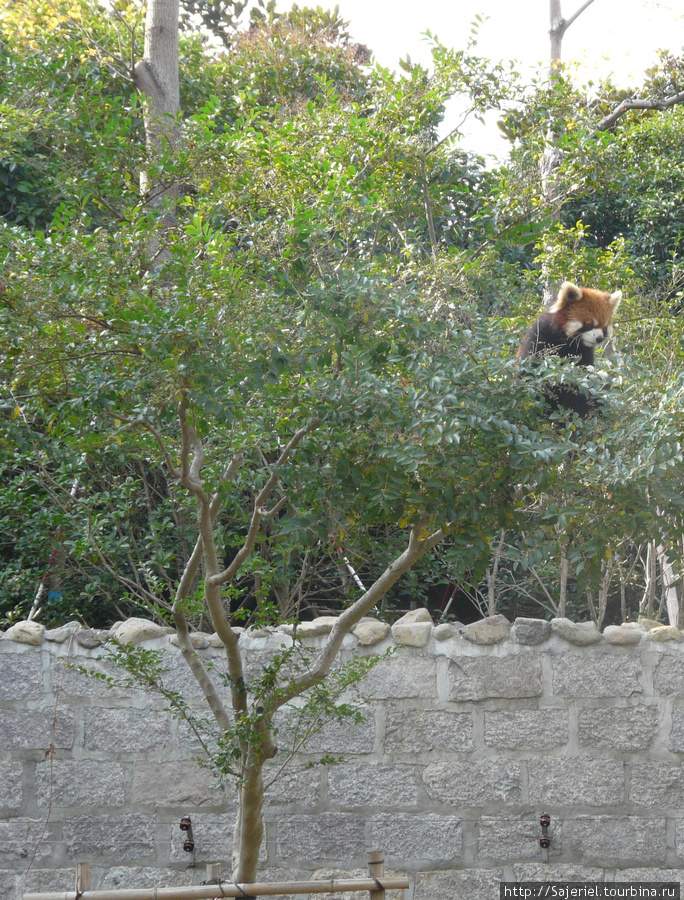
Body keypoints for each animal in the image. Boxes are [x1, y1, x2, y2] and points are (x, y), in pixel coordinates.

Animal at [520, 282, 620, 418]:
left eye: (604, 328)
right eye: (590, 325)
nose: (599, 338)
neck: (566, 341)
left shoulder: (584, 354)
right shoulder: (540, 336)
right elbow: (531, 371)